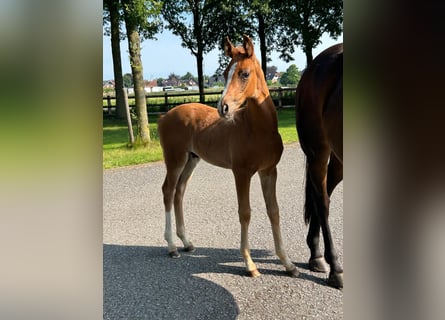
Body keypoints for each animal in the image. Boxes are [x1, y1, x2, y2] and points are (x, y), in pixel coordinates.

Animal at [158, 35, 296, 278]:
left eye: (244, 73)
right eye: (224, 73)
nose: (223, 107)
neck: (258, 129)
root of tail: (165, 116)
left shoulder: (269, 171)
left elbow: (274, 211)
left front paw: (288, 264)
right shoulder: (241, 173)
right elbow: (245, 213)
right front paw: (250, 264)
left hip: (191, 160)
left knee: (179, 192)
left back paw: (186, 242)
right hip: (175, 159)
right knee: (168, 191)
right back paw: (172, 246)